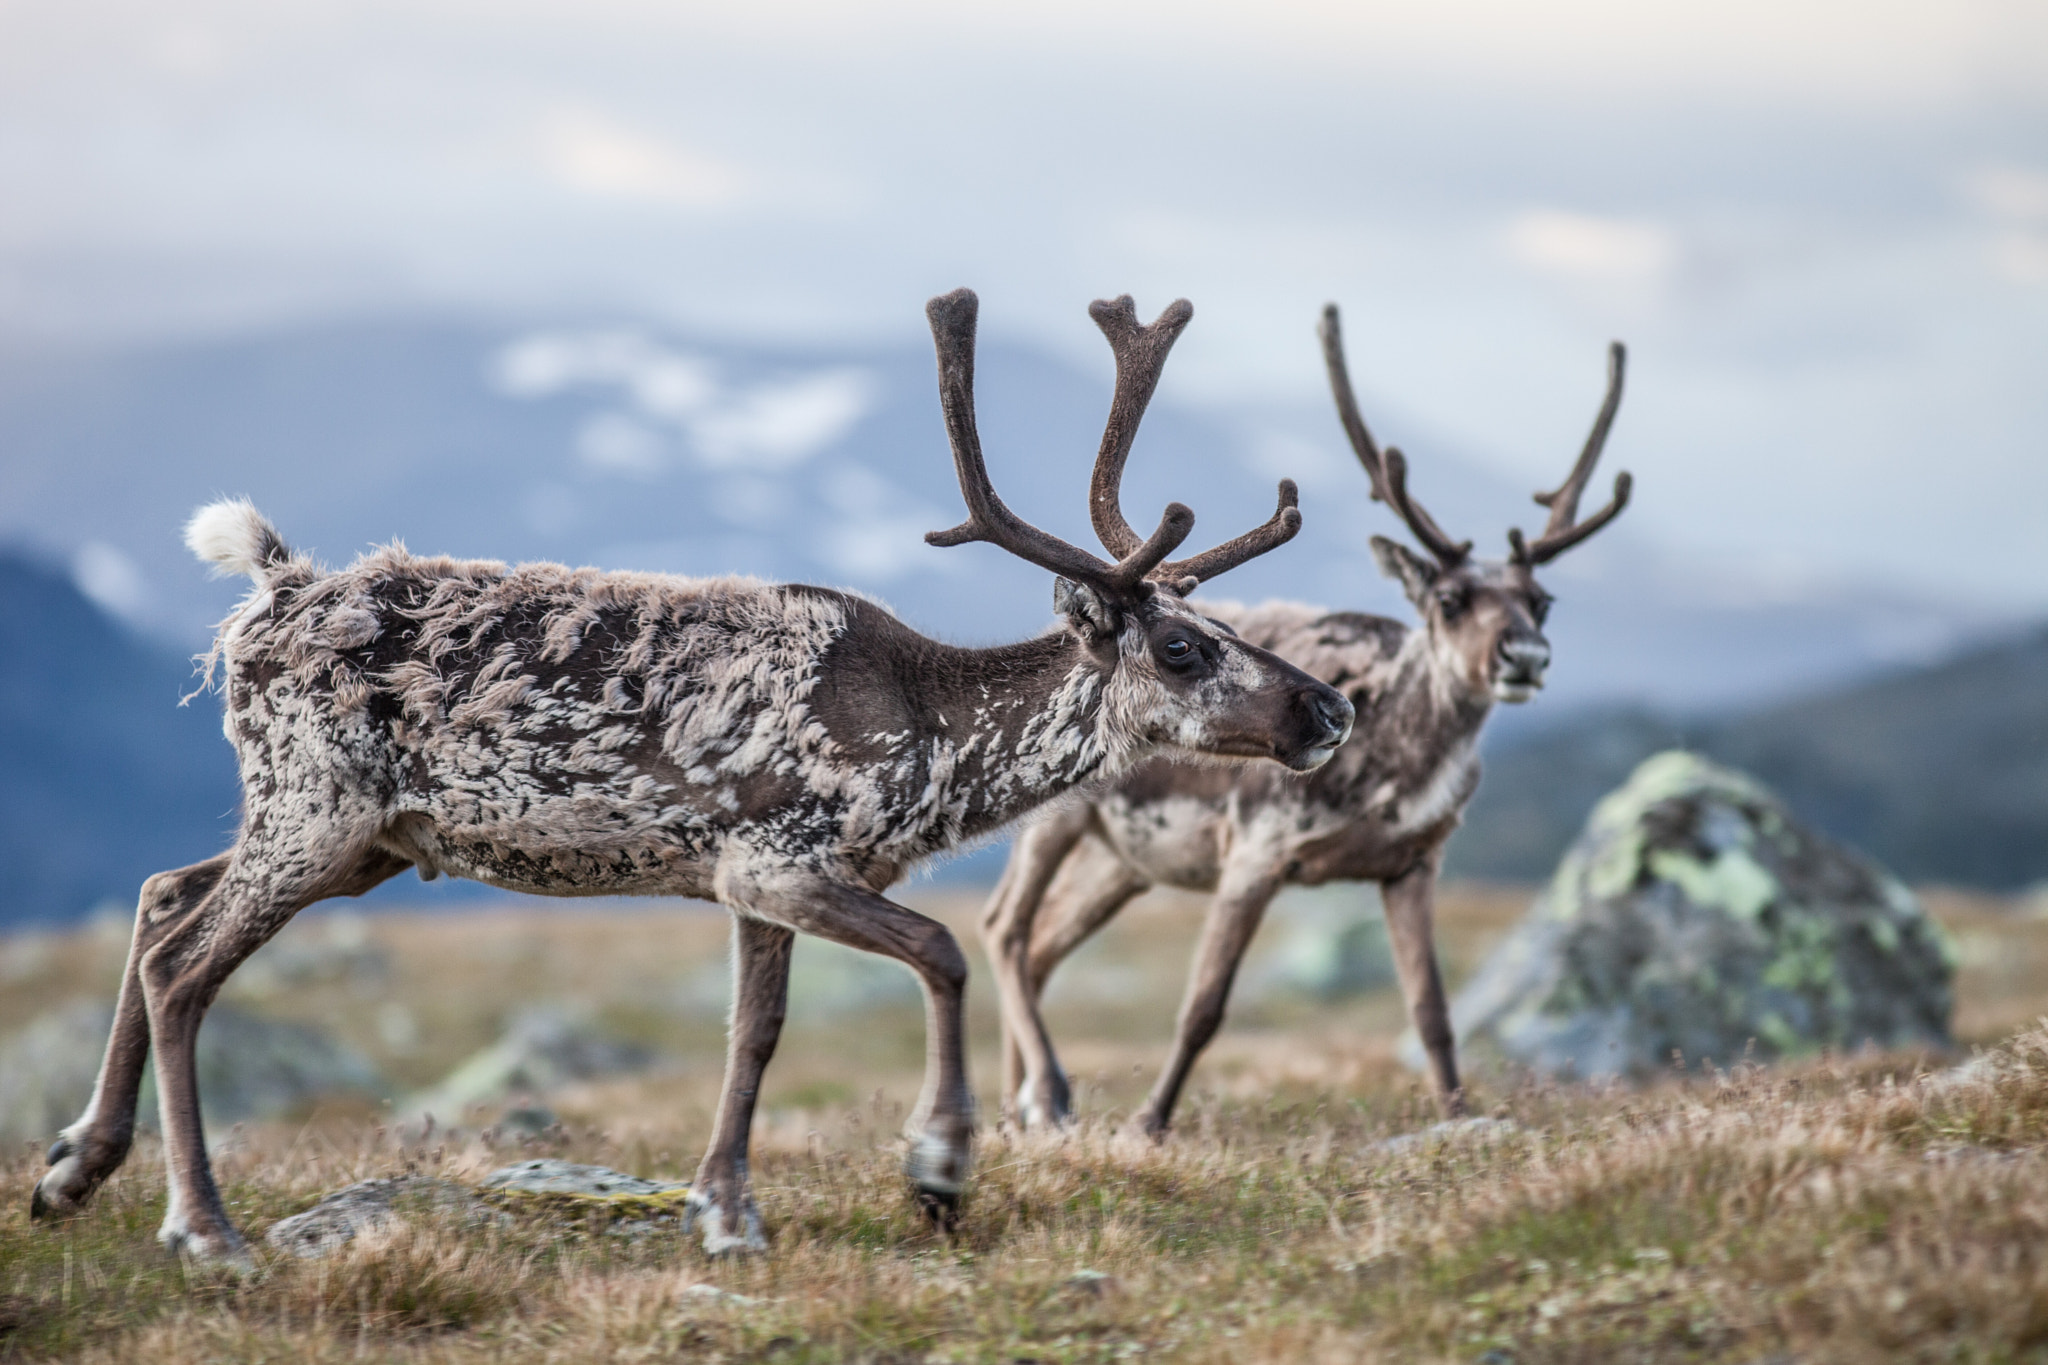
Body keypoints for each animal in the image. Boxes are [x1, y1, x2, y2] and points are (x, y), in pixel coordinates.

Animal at [28, 288, 1354, 1266]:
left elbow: (753, 1032)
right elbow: (939, 952)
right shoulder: (782, 858)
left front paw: (724, 1210)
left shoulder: (746, 880)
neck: (928, 738)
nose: (1330, 707)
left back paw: (72, 1166)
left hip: (363, 841)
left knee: (157, 897)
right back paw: (202, 1229)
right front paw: (935, 1170)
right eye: (1181, 647)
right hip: (317, 812)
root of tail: (269, 590)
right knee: (186, 965)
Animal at [979, 303, 1632, 1135]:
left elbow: (1432, 1010)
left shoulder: (1413, 864)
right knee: (1005, 926)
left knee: (1039, 948)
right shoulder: (1254, 852)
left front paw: (1459, 1112)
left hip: (1123, 860)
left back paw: (1020, 1107)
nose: (1525, 655)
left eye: (1541, 601)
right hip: (1056, 817)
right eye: (1449, 599)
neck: (1392, 770)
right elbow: (1203, 1007)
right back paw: (1035, 1098)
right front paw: (1149, 1122)